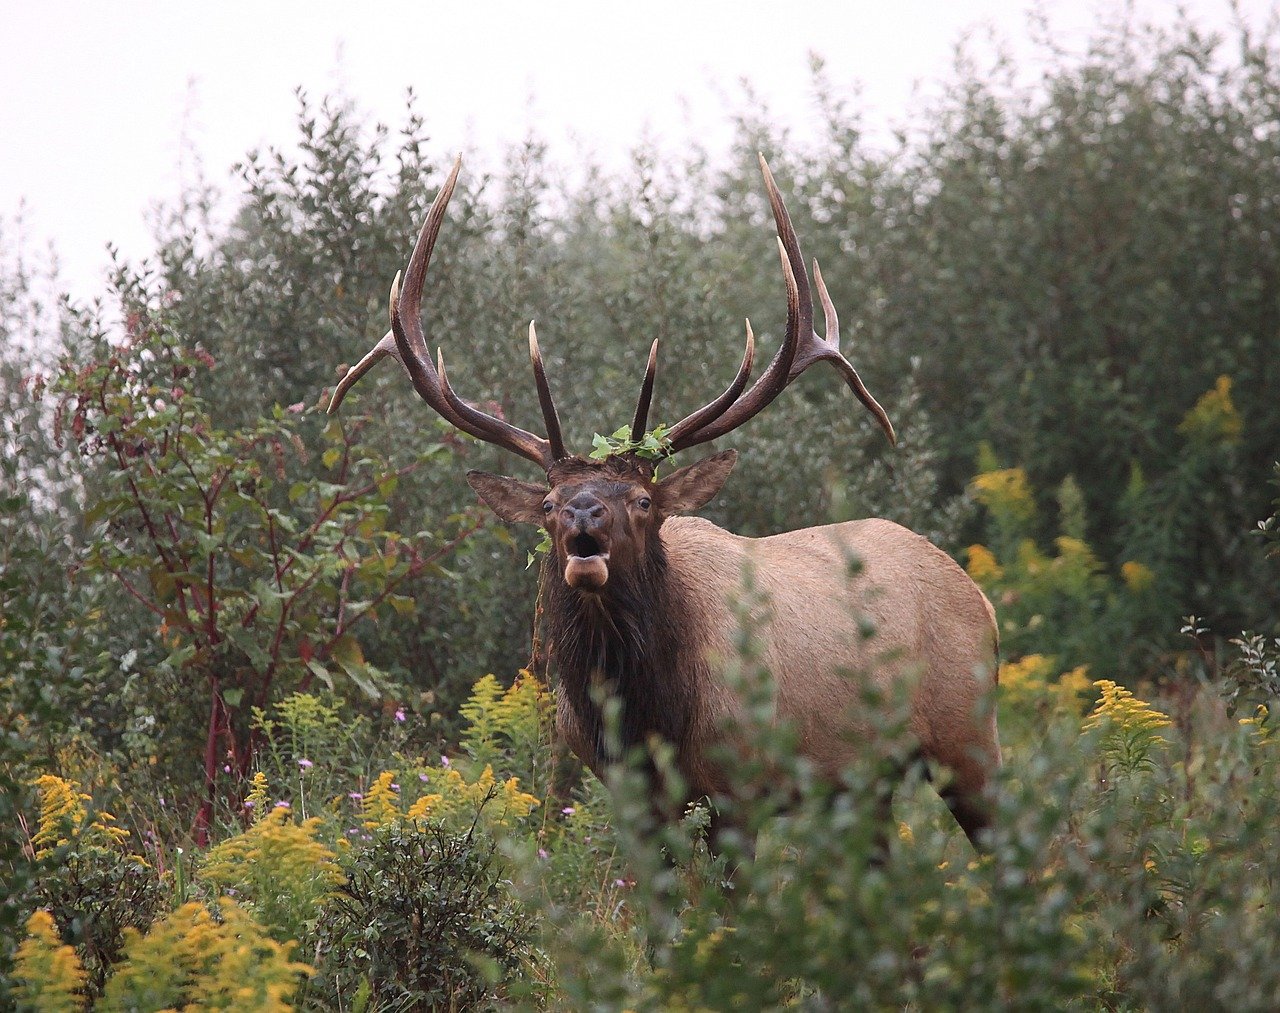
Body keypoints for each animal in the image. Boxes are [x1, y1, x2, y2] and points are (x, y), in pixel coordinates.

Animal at [327, 156, 998, 850]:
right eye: (549, 504)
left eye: (644, 500)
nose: (585, 513)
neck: (648, 718)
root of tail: (979, 595)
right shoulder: (624, 793)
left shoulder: (742, 785)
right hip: (868, 780)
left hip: (969, 738)